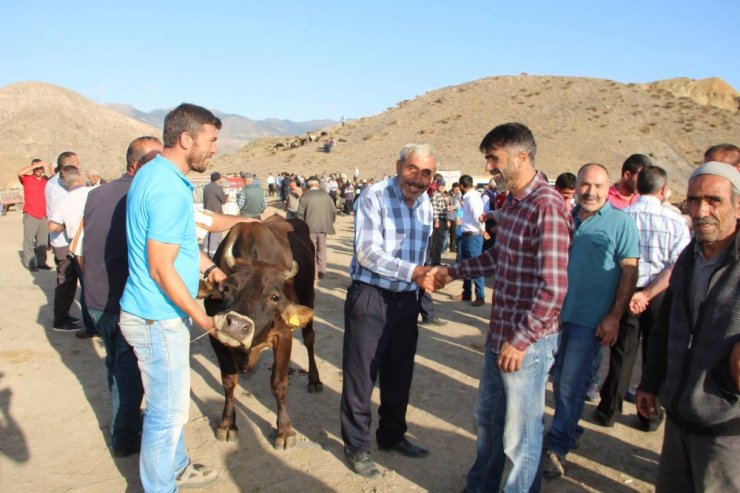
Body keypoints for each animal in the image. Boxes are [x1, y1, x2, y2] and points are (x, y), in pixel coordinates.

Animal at [198, 213, 322, 448]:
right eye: (228, 287)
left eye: (274, 296)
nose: (237, 326)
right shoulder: (216, 339)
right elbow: (228, 381)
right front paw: (227, 424)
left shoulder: (284, 335)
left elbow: (278, 383)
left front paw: (284, 431)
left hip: (308, 296)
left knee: (310, 339)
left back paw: (314, 380)